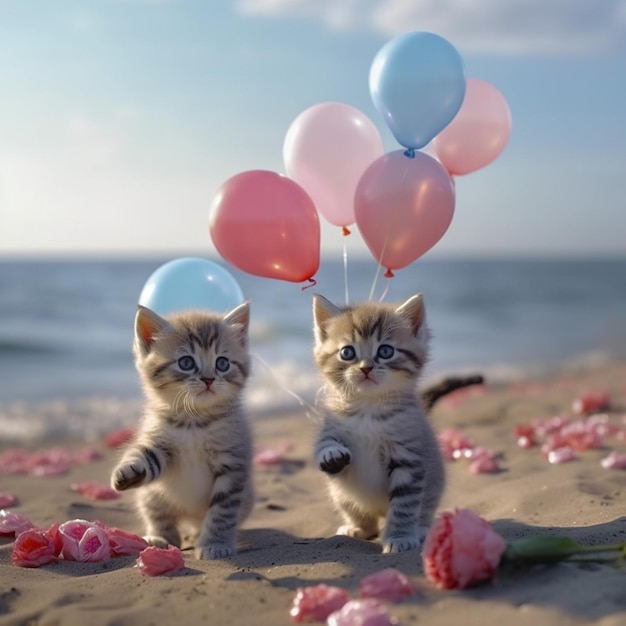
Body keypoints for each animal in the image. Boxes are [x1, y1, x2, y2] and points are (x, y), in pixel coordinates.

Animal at [111, 302, 252, 556]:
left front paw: (215, 543)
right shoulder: (161, 443)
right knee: (160, 517)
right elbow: (147, 458)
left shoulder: (232, 463)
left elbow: (222, 512)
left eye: (222, 363)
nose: (208, 379)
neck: (194, 421)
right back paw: (160, 538)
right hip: (151, 495)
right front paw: (129, 470)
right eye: (186, 363)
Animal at [312, 292, 444, 552]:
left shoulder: (409, 458)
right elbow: (326, 443)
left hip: (433, 486)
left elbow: (404, 506)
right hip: (341, 495)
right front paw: (330, 453)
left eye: (385, 351)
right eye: (347, 352)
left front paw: (400, 537)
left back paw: (420, 529)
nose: (366, 368)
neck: (368, 408)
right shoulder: (332, 424)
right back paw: (358, 528)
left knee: (422, 511)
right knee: (365, 519)